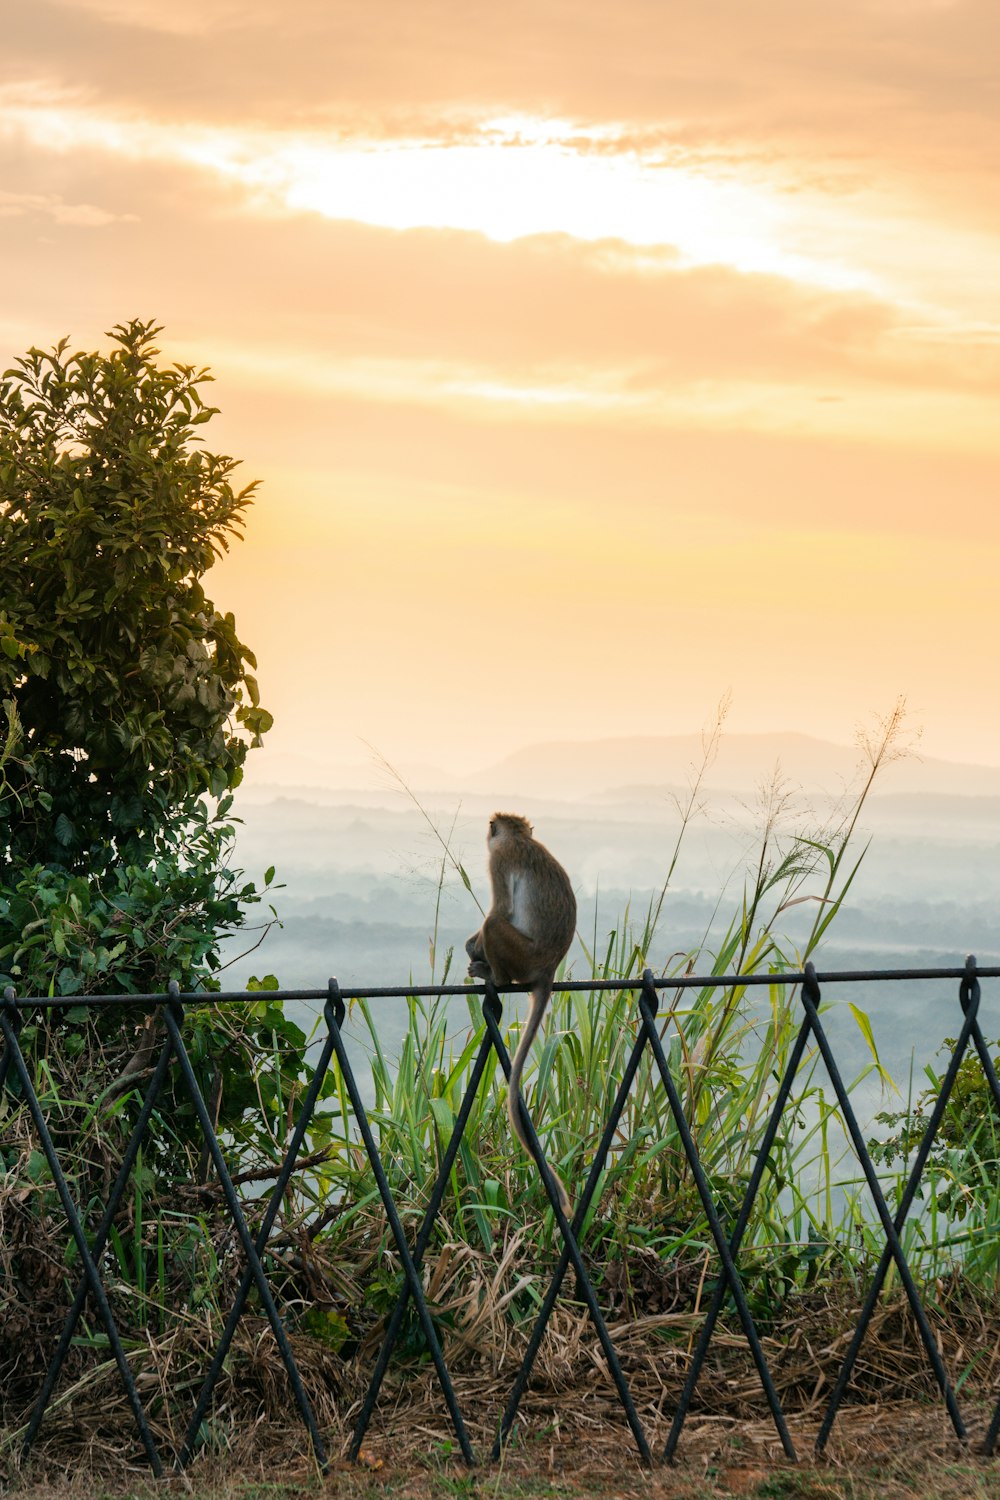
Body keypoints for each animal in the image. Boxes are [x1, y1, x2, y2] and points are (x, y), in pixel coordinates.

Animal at [464, 816, 575, 1212]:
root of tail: (548, 969)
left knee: (496, 926)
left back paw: (493, 975)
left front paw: (473, 945)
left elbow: (501, 911)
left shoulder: (499, 858)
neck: (520, 839)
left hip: (521, 954)